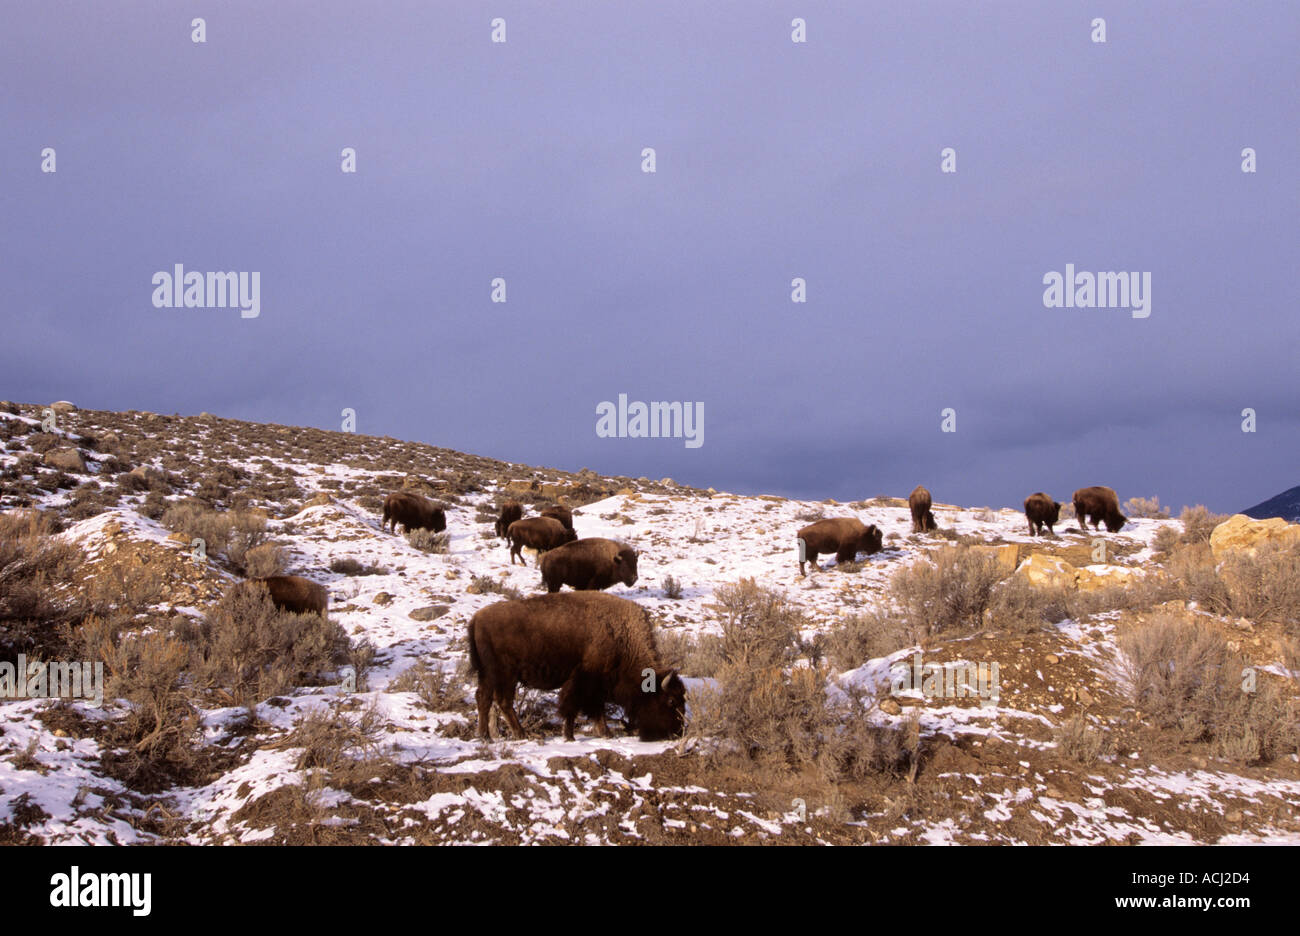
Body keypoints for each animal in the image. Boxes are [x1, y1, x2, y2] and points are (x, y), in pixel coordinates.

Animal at [470, 592, 691, 738]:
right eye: (671, 701)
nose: (677, 732)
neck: (622, 637)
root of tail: (476, 618)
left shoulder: (595, 684)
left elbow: (590, 707)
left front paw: (599, 733)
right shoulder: (586, 680)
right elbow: (577, 707)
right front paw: (576, 735)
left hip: (489, 675)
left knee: (484, 698)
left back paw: (484, 735)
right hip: (504, 674)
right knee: (502, 701)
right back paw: (520, 733)